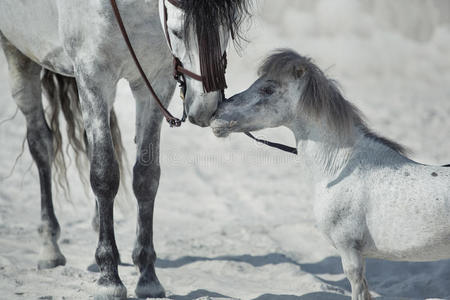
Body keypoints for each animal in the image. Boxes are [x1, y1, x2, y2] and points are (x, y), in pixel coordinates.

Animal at [0, 1, 250, 298]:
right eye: (177, 32)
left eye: (227, 29)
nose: (206, 109)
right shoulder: (93, 76)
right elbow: (104, 175)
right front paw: (109, 278)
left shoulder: (154, 81)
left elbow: (146, 178)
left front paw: (148, 276)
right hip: (18, 52)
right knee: (41, 144)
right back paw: (50, 247)